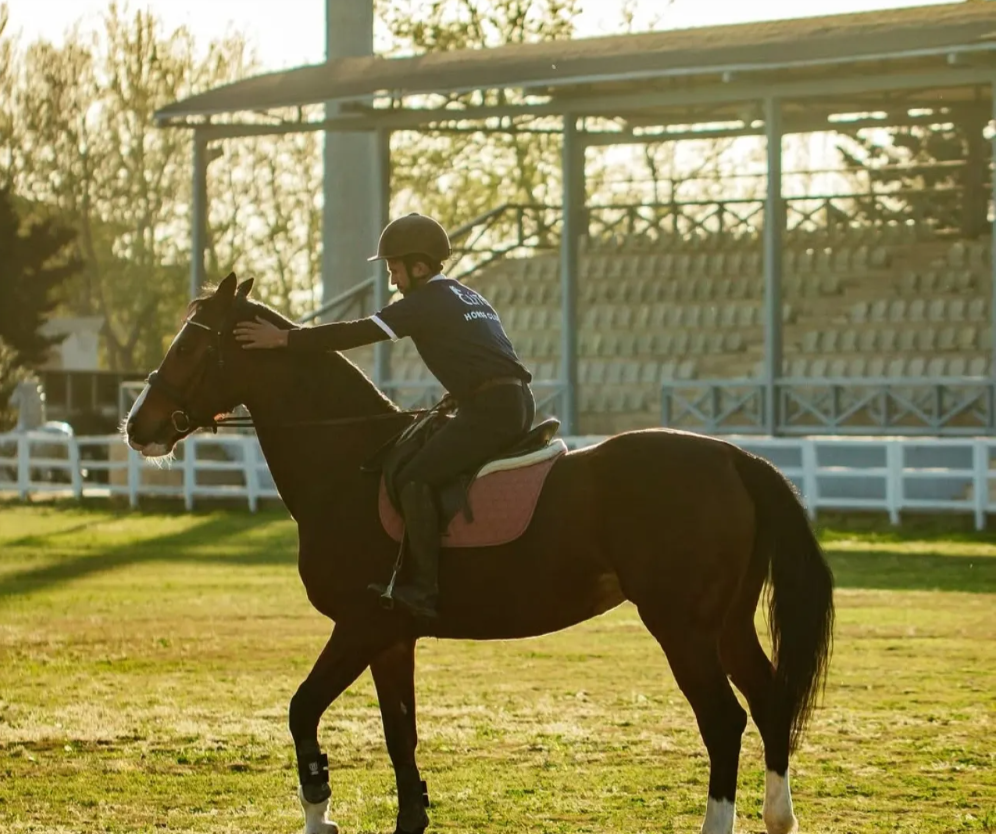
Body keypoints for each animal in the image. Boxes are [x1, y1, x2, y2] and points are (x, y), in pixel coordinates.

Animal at [124, 273, 834, 834]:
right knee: (769, 703)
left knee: (723, 720)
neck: (349, 464)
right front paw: (410, 817)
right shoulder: (391, 638)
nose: (137, 426)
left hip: (682, 628)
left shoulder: (360, 625)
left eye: (192, 346)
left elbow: (303, 710)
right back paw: (778, 818)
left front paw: (320, 811)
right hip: (726, 624)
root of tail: (733, 457)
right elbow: (400, 732)